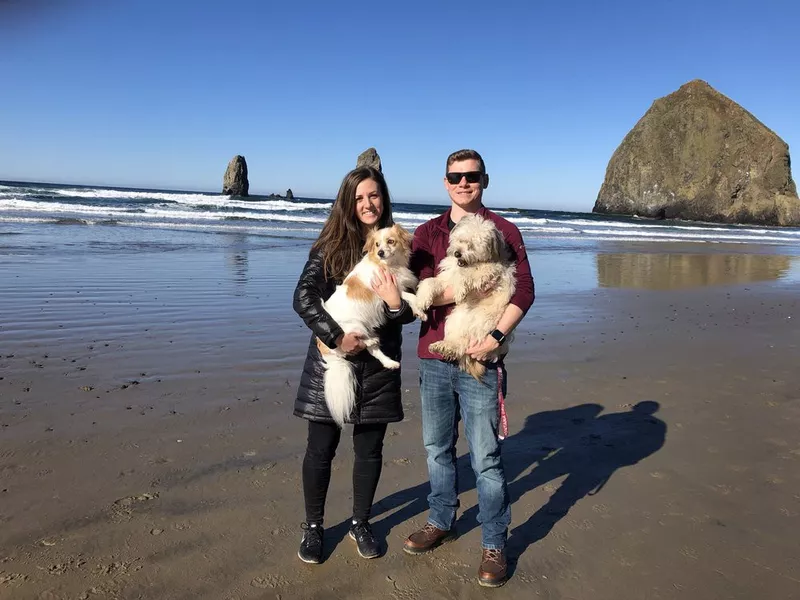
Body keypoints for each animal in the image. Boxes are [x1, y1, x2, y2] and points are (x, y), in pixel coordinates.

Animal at [318, 224, 424, 426]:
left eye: (390, 241)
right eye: (376, 245)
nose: (381, 252)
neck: (389, 265)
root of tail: (324, 349)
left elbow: (408, 298)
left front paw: (419, 309)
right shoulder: (390, 291)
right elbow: (409, 296)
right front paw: (420, 308)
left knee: (374, 351)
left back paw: (390, 362)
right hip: (354, 327)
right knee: (362, 342)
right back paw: (371, 341)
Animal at [416, 216, 516, 380]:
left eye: (472, 246)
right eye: (460, 240)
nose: (457, 253)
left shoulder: (489, 271)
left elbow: (468, 274)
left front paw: (460, 289)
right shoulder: (446, 278)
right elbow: (430, 281)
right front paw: (421, 299)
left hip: (483, 323)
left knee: (465, 343)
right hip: (455, 319)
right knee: (457, 341)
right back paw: (443, 346)